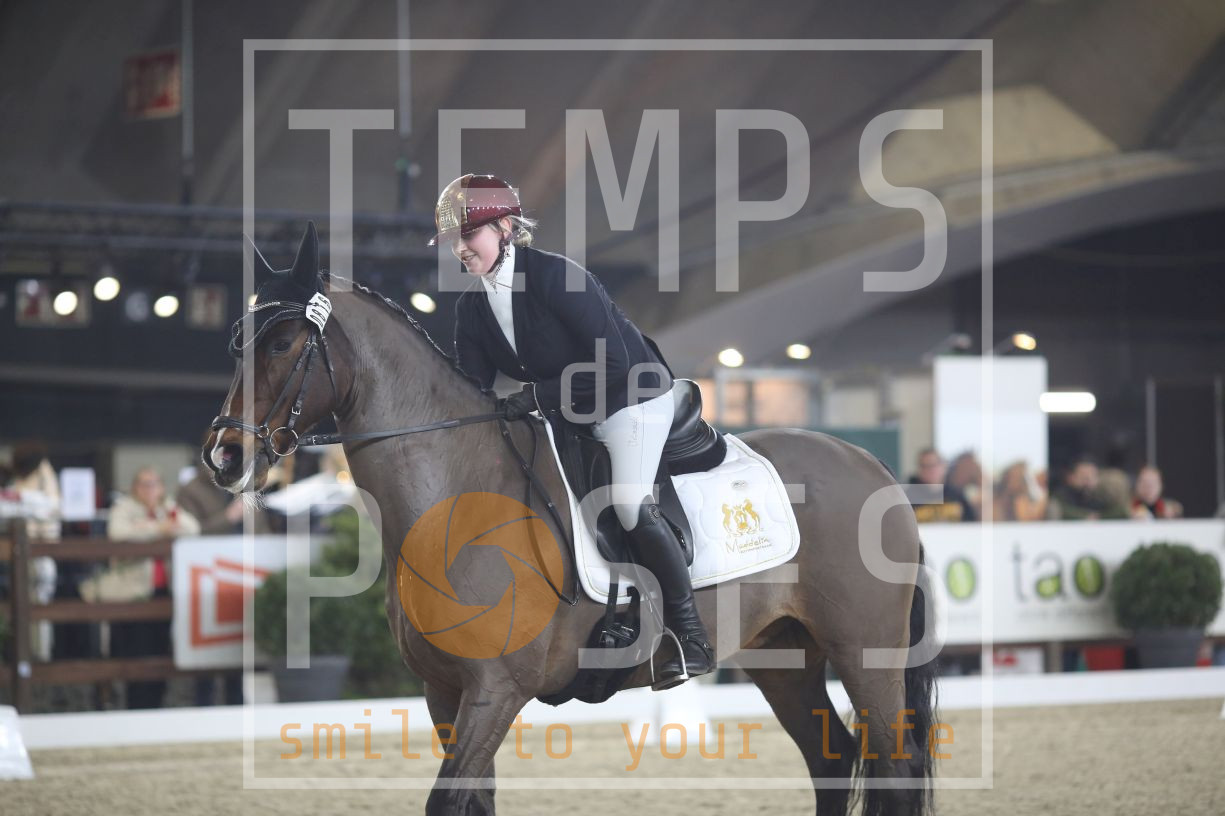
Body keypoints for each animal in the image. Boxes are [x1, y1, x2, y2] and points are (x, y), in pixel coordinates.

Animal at [203, 224, 938, 816]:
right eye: (238, 343)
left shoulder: (497, 691)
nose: (224, 456)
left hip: (865, 654)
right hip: (783, 655)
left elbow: (446, 801)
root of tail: (868, 465)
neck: (455, 494)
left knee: (893, 766)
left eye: (285, 342)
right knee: (831, 762)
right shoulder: (444, 693)